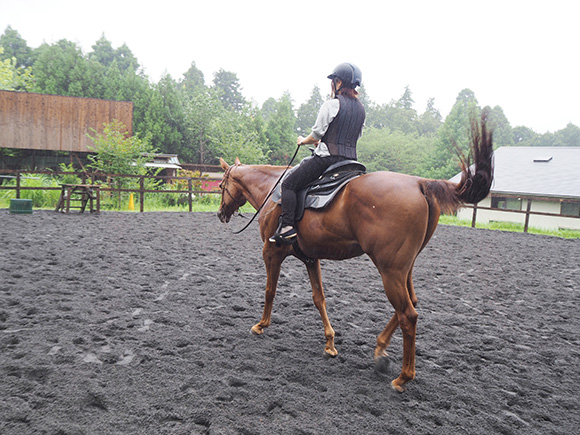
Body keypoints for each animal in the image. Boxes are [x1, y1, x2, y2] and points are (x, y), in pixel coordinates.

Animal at [218, 110, 494, 394]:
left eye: (220, 186)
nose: (220, 214)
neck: (273, 188)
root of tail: (420, 184)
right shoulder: (311, 258)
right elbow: (319, 298)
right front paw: (330, 343)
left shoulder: (271, 251)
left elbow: (270, 290)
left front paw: (261, 325)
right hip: (404, 269)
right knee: (411, 304)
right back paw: (380, 350)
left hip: (390, 271)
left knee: (408, 314)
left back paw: (402, 377)